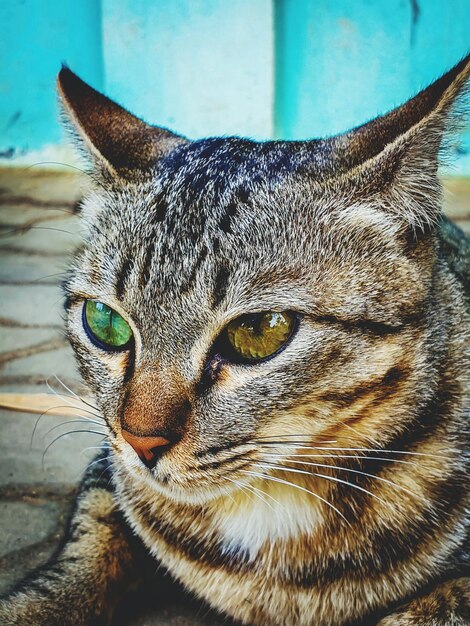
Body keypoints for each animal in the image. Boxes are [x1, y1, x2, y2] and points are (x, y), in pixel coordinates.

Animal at [0, 54, 468, 624]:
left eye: (258, 332)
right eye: (104, 323)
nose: (140, 442)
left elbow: (434, 605)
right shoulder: (107, 474)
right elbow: (83, 554)